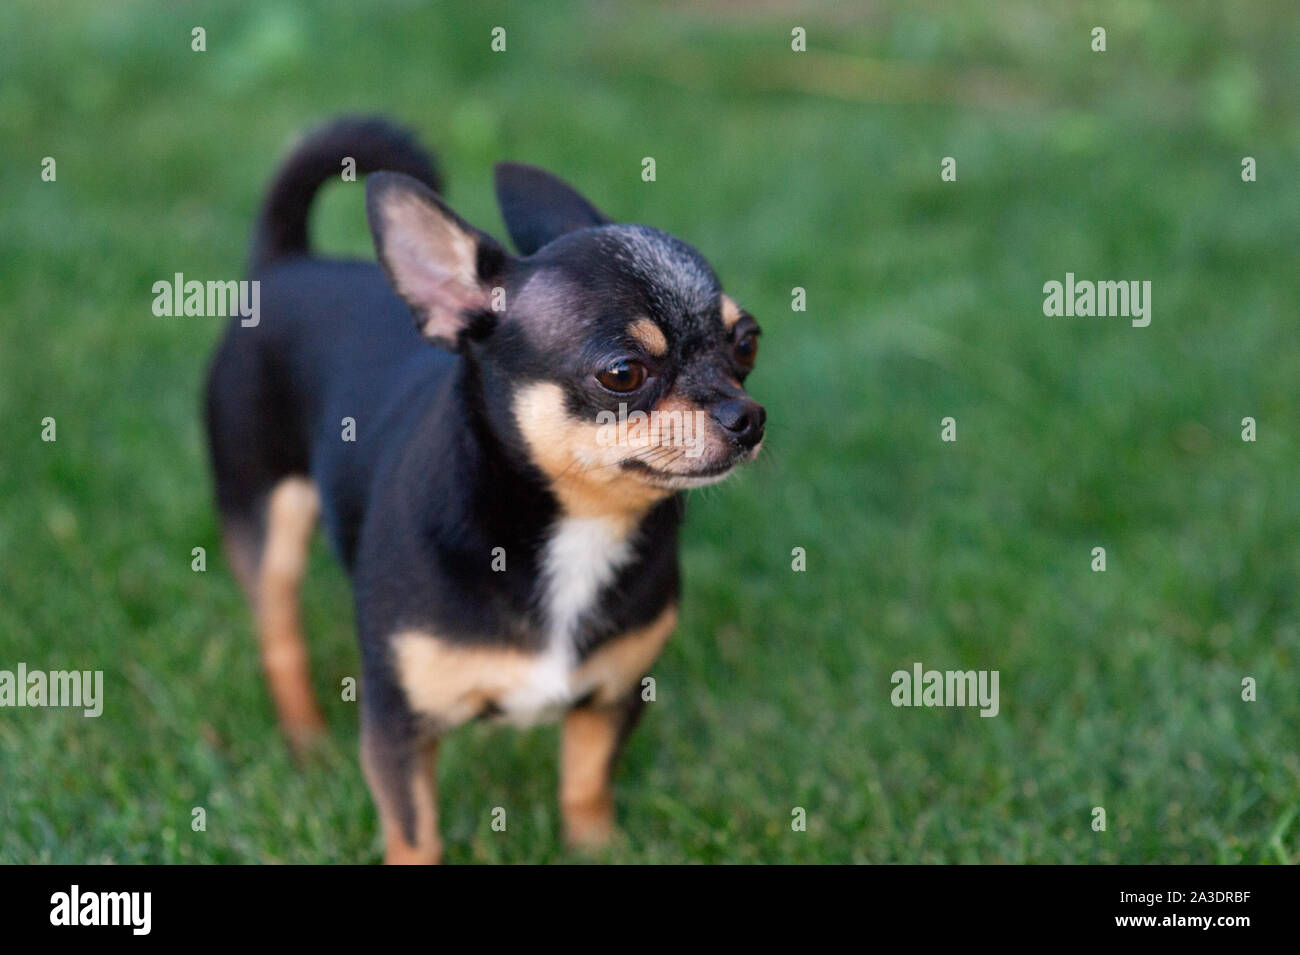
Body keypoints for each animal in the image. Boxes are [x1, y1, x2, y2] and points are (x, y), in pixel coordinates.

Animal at [202, 115, 759, 862]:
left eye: (747, 343)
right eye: (623, 373)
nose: (748, 416)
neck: (576, 525)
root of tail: (286, 262)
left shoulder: (610, 699)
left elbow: (585, 788)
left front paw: (596, 848)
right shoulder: (399, 724)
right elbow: (415, 833)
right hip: (268, 519)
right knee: (278, 630)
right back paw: (306, 741)